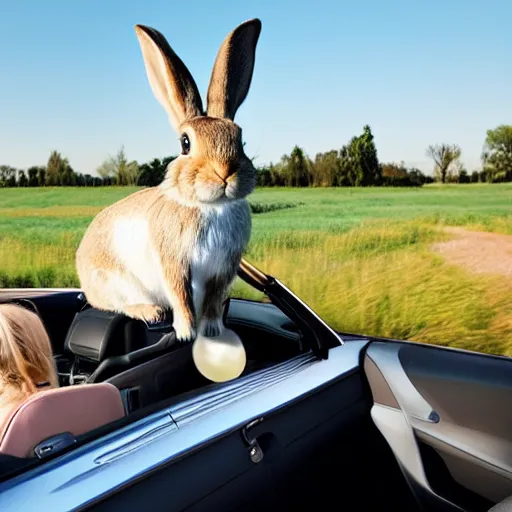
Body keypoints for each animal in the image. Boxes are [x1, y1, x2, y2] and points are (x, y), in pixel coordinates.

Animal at [76, 18, 264, 342]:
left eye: (241, 139)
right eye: (185, 143)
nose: (225, 173)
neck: (210, 206)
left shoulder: (221, 271)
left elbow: (212, 302)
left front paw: (212, 330)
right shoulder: (174, 263)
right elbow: (181, 296)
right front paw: (187, 333)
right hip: (112, 281)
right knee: (117, 303)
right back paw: (149, 311)